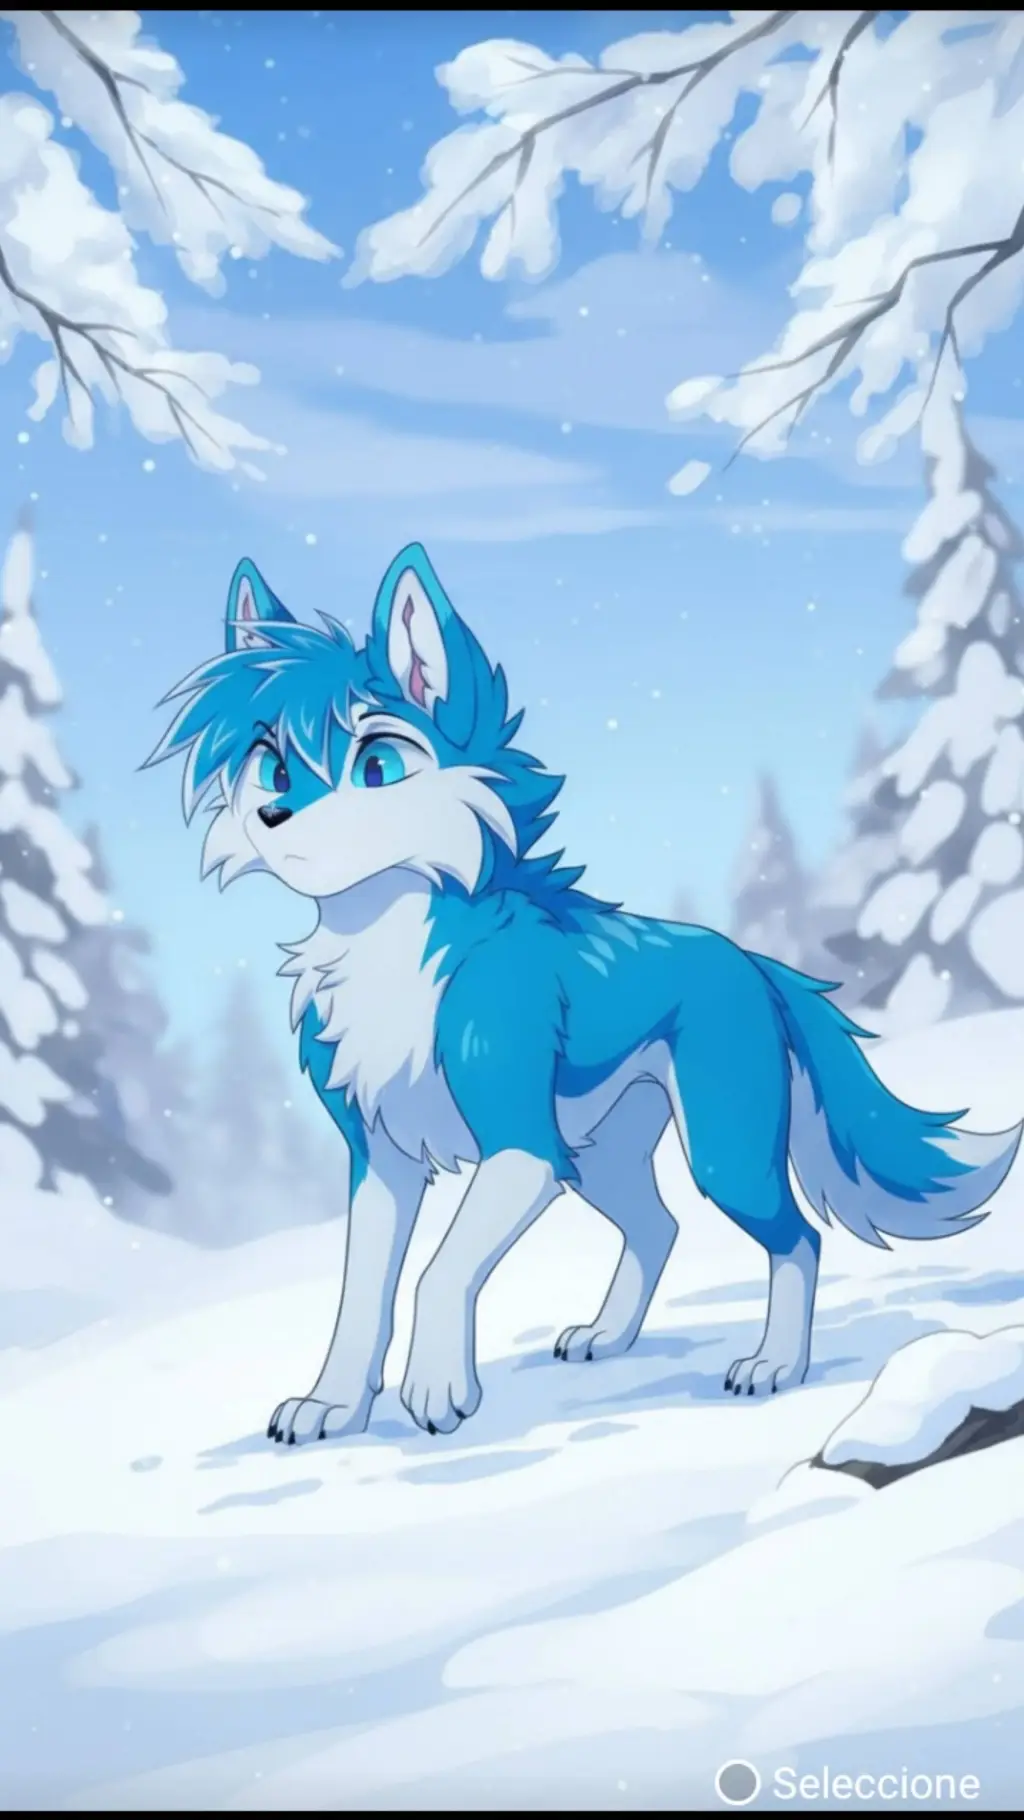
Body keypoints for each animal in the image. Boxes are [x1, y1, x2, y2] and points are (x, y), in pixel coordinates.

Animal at [149, 543, 1022, 1444]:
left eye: (376, 767)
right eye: (273, 767)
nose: (273, 815)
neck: (391, 951)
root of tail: (752, 961)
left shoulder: (522, 1145)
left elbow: (436, 1272)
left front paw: (436, 1389)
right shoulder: (383, 1158)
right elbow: (360, 1296)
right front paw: (333, 1406)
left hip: (718, 1151)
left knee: (798, 1239)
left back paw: (774, 1366)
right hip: (600, 1158)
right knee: (660, 1225)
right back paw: (608, 1335)